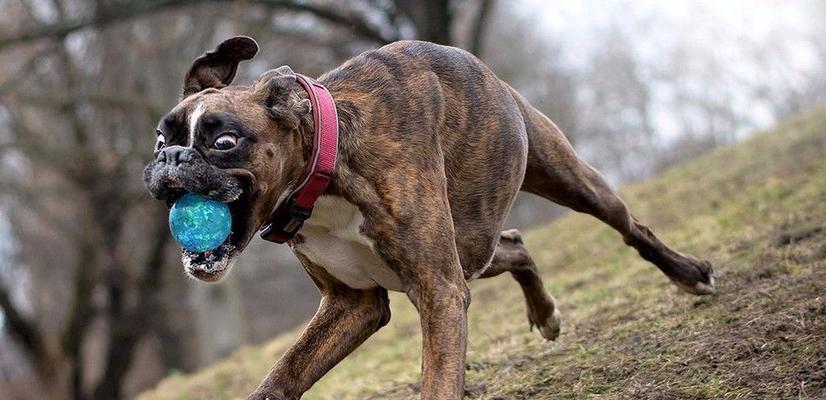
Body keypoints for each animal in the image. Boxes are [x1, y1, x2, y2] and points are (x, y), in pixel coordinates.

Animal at [143, 36, 716, 398]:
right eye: (160, 138)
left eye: (224, 142)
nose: (171, 158)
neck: (329, 169)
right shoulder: (354, 304)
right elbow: (282, 376)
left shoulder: (438, 290)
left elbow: (438, 382)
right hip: (472, 245)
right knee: (513, 244)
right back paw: (545, 311)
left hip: (564, 178)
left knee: (629, 226)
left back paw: (689, 274)